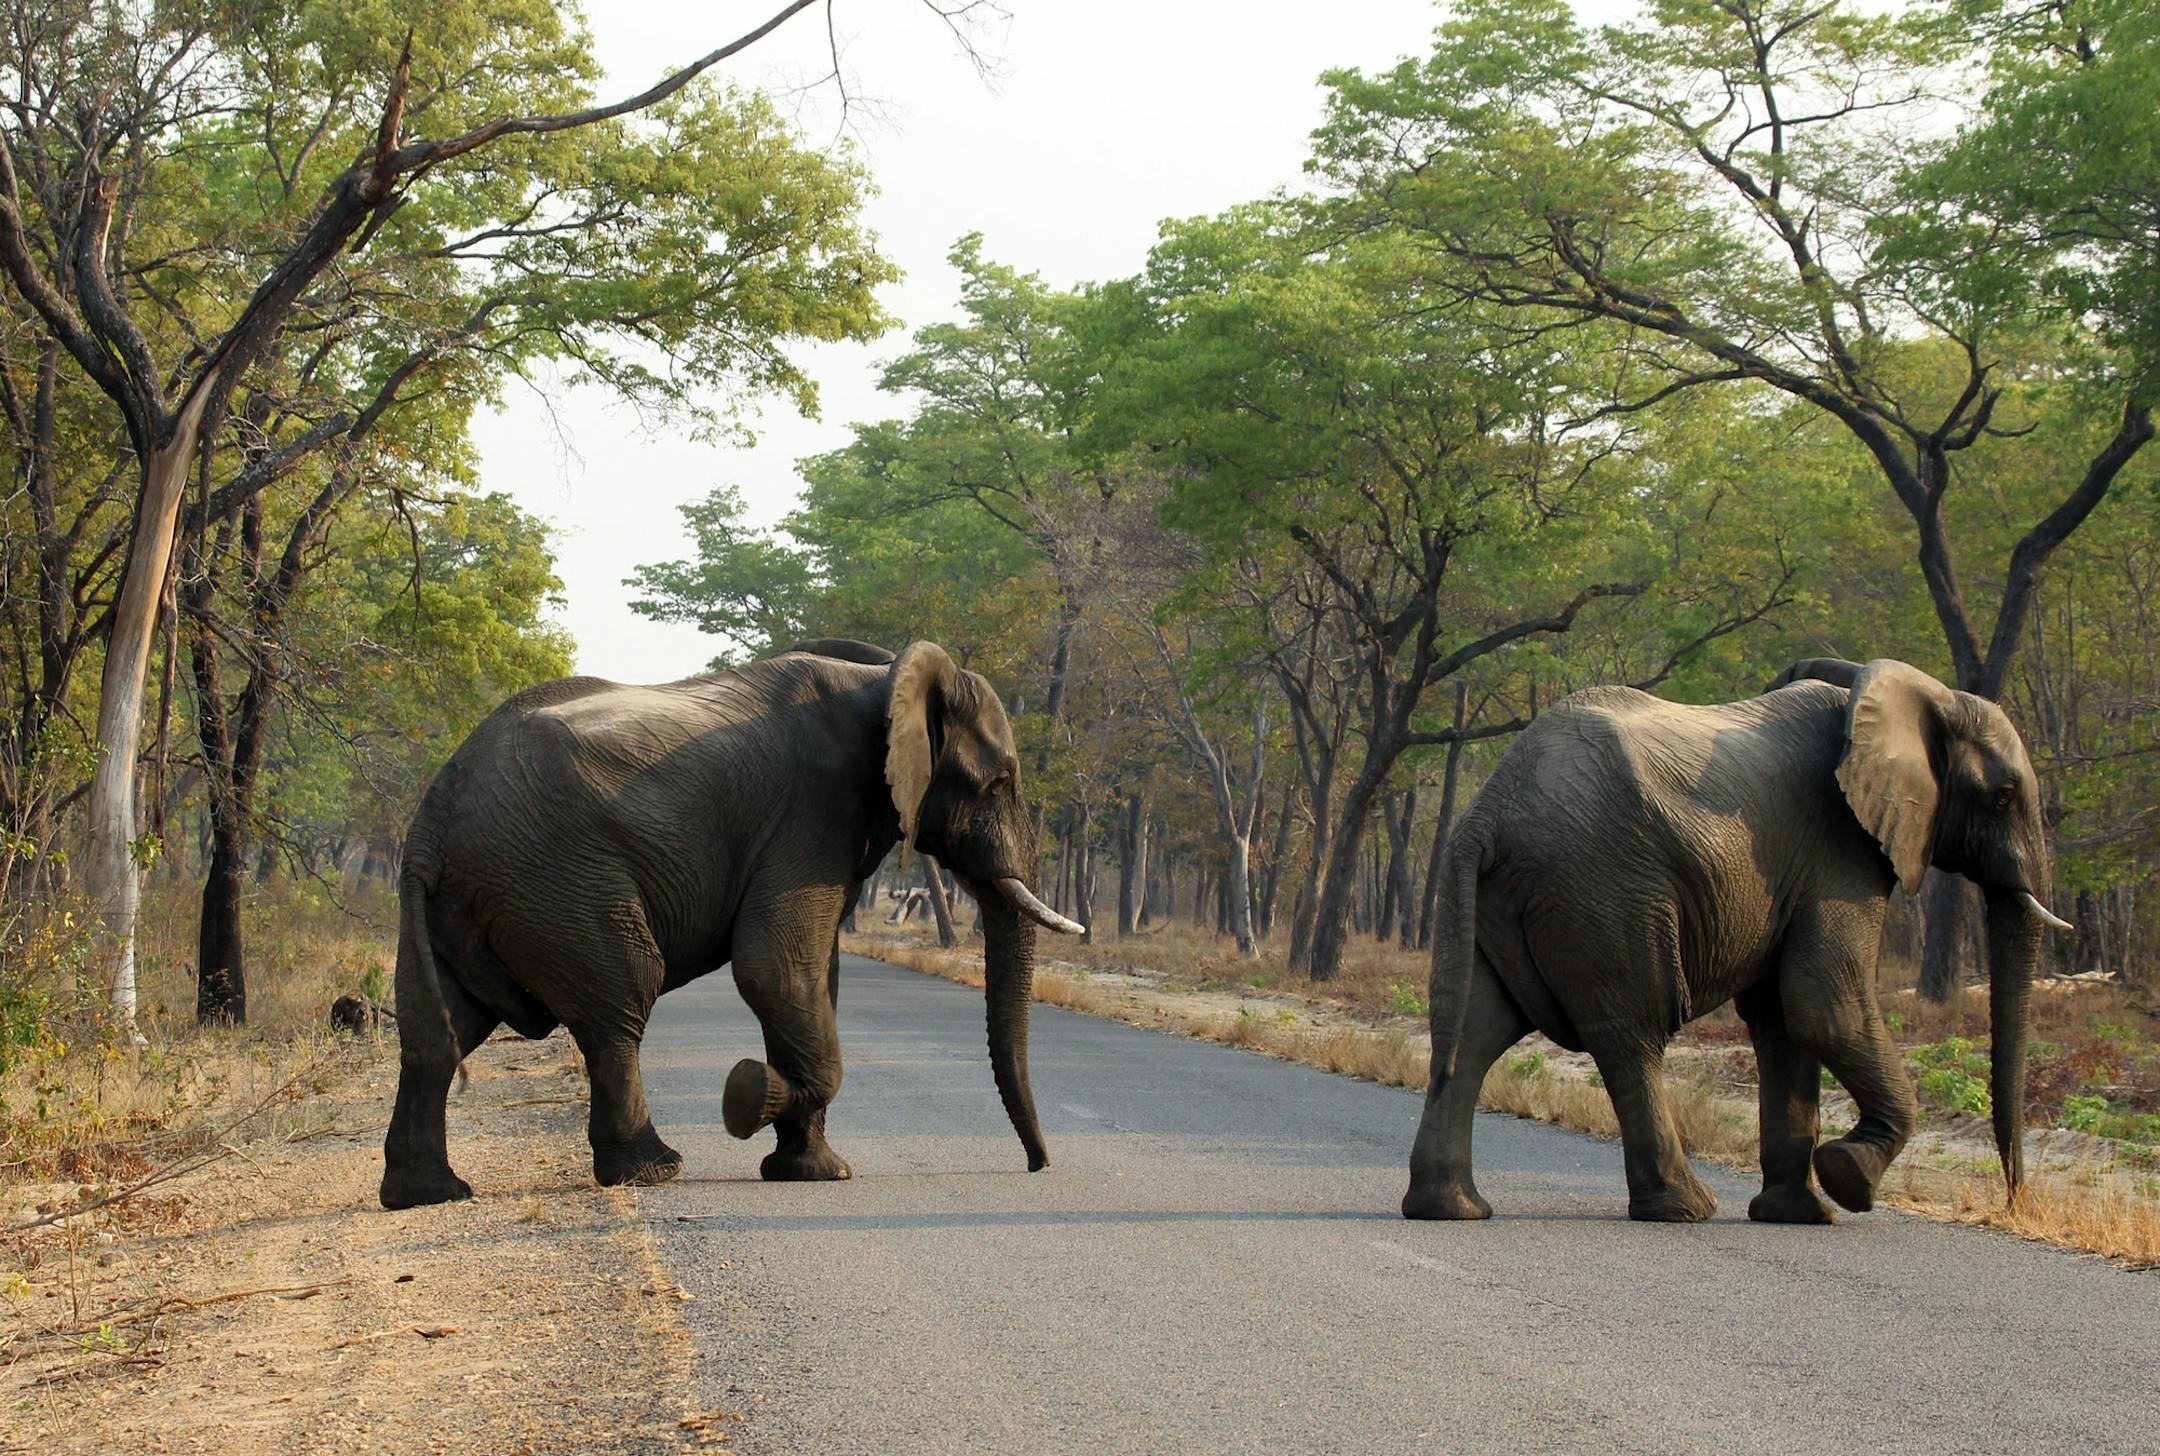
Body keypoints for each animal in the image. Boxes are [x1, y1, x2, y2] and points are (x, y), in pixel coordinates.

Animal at [379, 638, 1081, 1210]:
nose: (1037, 1166)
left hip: (473, 900)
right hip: (555, 879)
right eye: (999, 782)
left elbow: (811, 978)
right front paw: (745, 1098)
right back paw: (653, 1171)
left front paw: (811, 1172)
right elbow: (775, 970)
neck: (883, 679)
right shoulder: (814, 812)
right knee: (621, 999)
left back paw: (430, 1195)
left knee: (439, 1031)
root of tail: (431, 824)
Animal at [1402, 658, 2069, 1225]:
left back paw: (1451, 1209)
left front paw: (1800, 1214)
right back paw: (1685, 1208)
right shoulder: (1840, 851)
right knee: (1631, 1033)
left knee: (1473, 1029)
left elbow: (1782, 1019)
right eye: (2003, 796)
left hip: (1502, 896)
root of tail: (1489, 814)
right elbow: (1824, 1006)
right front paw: (1849, 1178)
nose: (2014, 1199)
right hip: (1602, 890)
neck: (1910, 692)